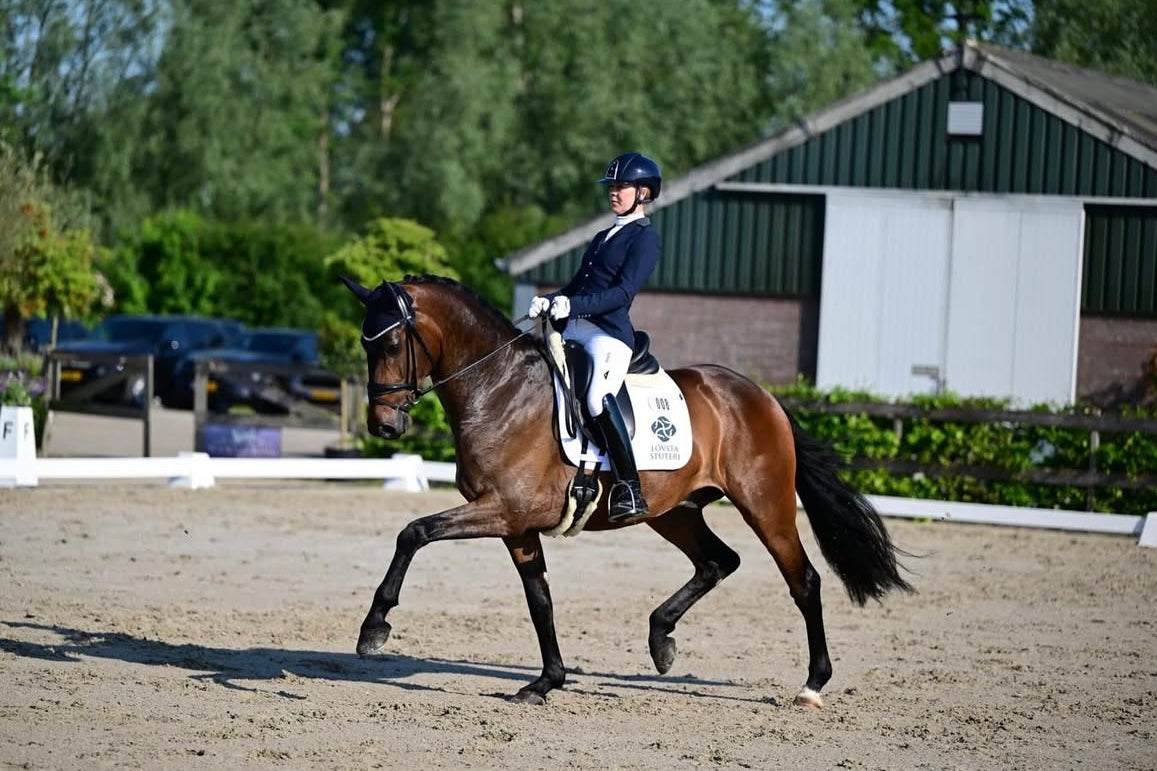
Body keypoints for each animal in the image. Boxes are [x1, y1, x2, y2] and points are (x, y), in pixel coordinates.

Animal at [341, 274, 912, 708]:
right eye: (366, 343)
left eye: (390, 343)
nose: (383, 427)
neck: (499, 390)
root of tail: (762, 396)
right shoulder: (517, 524)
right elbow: (539, 600)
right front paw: (546, 682)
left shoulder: (501, 510)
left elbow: (414, 532)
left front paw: (373, 629)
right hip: (673, 512)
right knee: (718, 562)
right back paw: (661, 640)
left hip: (765, 506)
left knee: (804, 582)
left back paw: (812, 685)